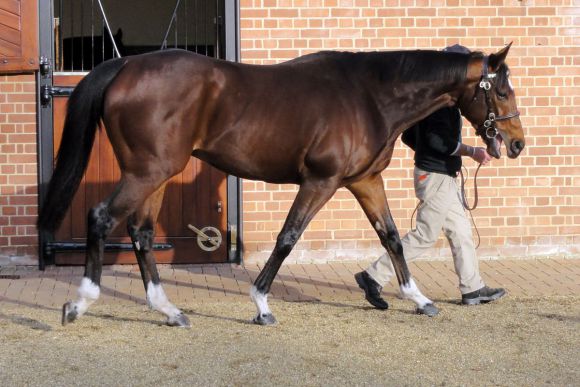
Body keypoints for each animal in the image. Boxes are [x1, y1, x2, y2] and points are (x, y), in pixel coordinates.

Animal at [37, 43, 524, 328]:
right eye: (501, 91)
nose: (517, 143)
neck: (369, 95)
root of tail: (126, 65)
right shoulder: (320, 181)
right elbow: (288, 237)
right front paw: (261, 305)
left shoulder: (365, 181)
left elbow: (391, 238)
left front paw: (417, 299)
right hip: (146, 172)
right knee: (101, 218)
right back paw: (79, 303)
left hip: (156, 174)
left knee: (139, 232)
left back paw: (169, 310)